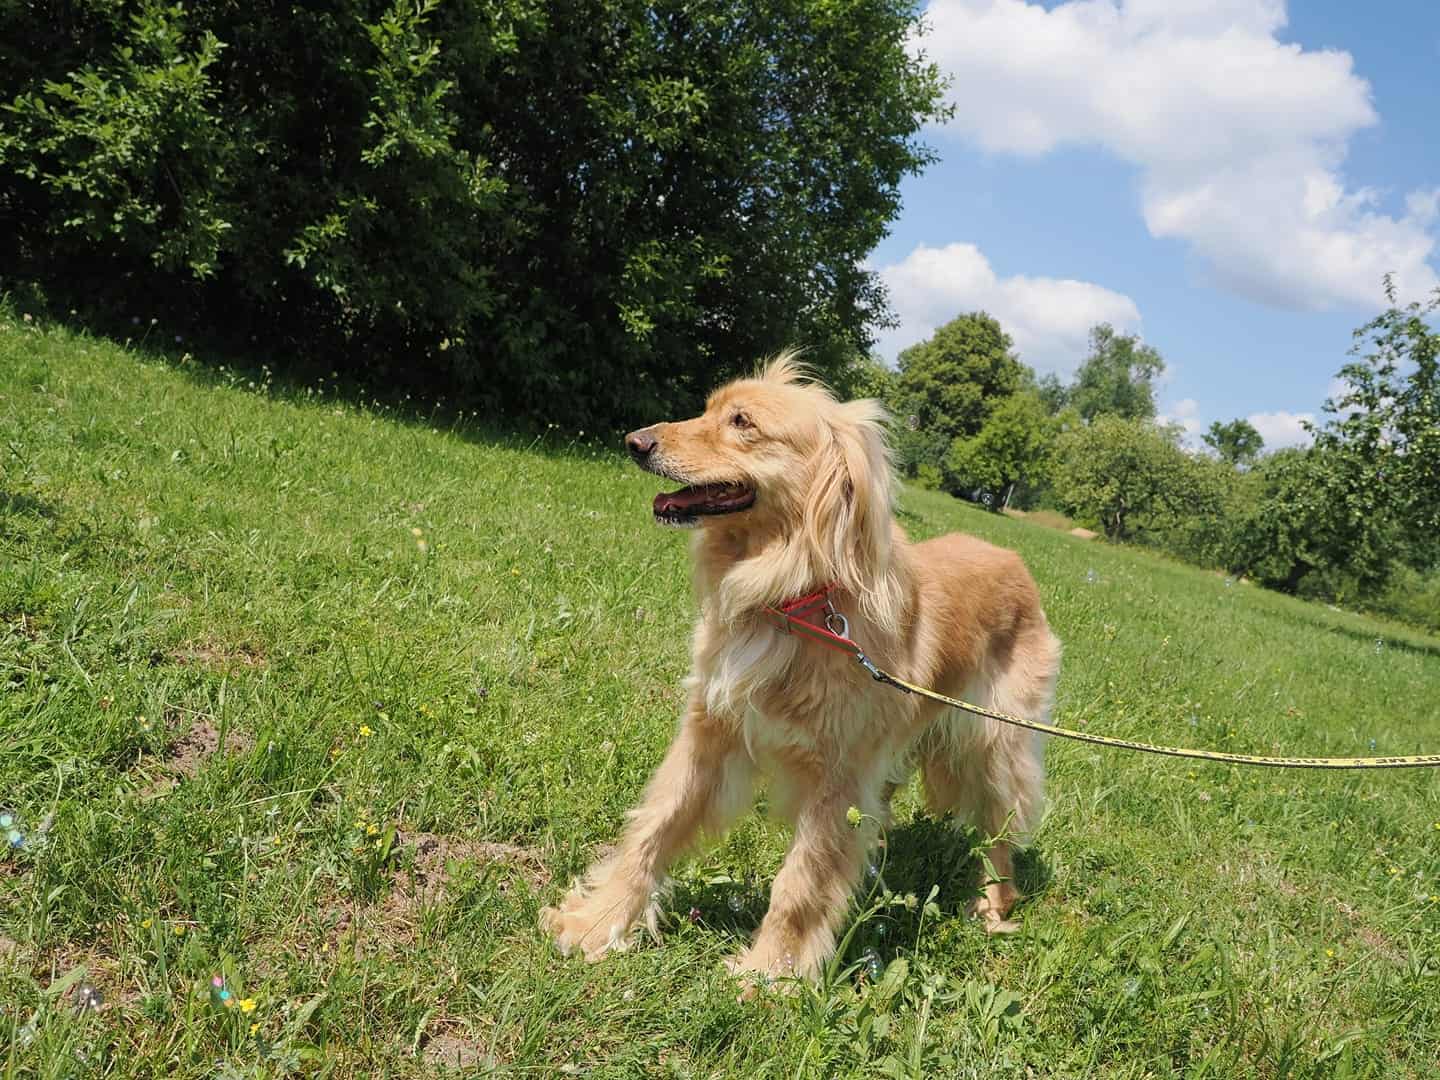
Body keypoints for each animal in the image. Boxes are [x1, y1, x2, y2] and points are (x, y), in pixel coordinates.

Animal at [541, 354, 1060, 985]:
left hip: (993, 744)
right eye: (710, 408)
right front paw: (598, 922)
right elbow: (654, 827)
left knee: (1001, 830)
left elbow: (802, 883)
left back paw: (992, 906)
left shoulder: (838, 777)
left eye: (742, 422)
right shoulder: (710, 735)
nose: (635, 442)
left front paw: (770, 973)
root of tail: (1016, 562)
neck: (790, 597)